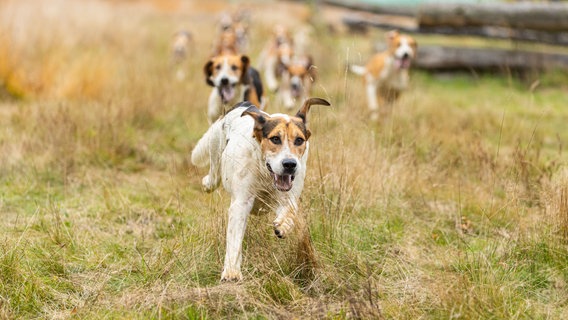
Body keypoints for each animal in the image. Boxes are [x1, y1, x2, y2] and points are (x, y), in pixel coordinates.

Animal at [191, 97, 330, 280]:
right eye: (275, 139)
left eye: (299, 140)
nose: (290, 164)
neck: (265, 173)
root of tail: (245, 104)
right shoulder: (241, 203)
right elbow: (234, 240)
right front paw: (231, 272)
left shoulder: (288, 195)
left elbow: (291, 209)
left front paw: (284, 224)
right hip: (215, 148)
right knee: (214, 175)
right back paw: (207, 182)